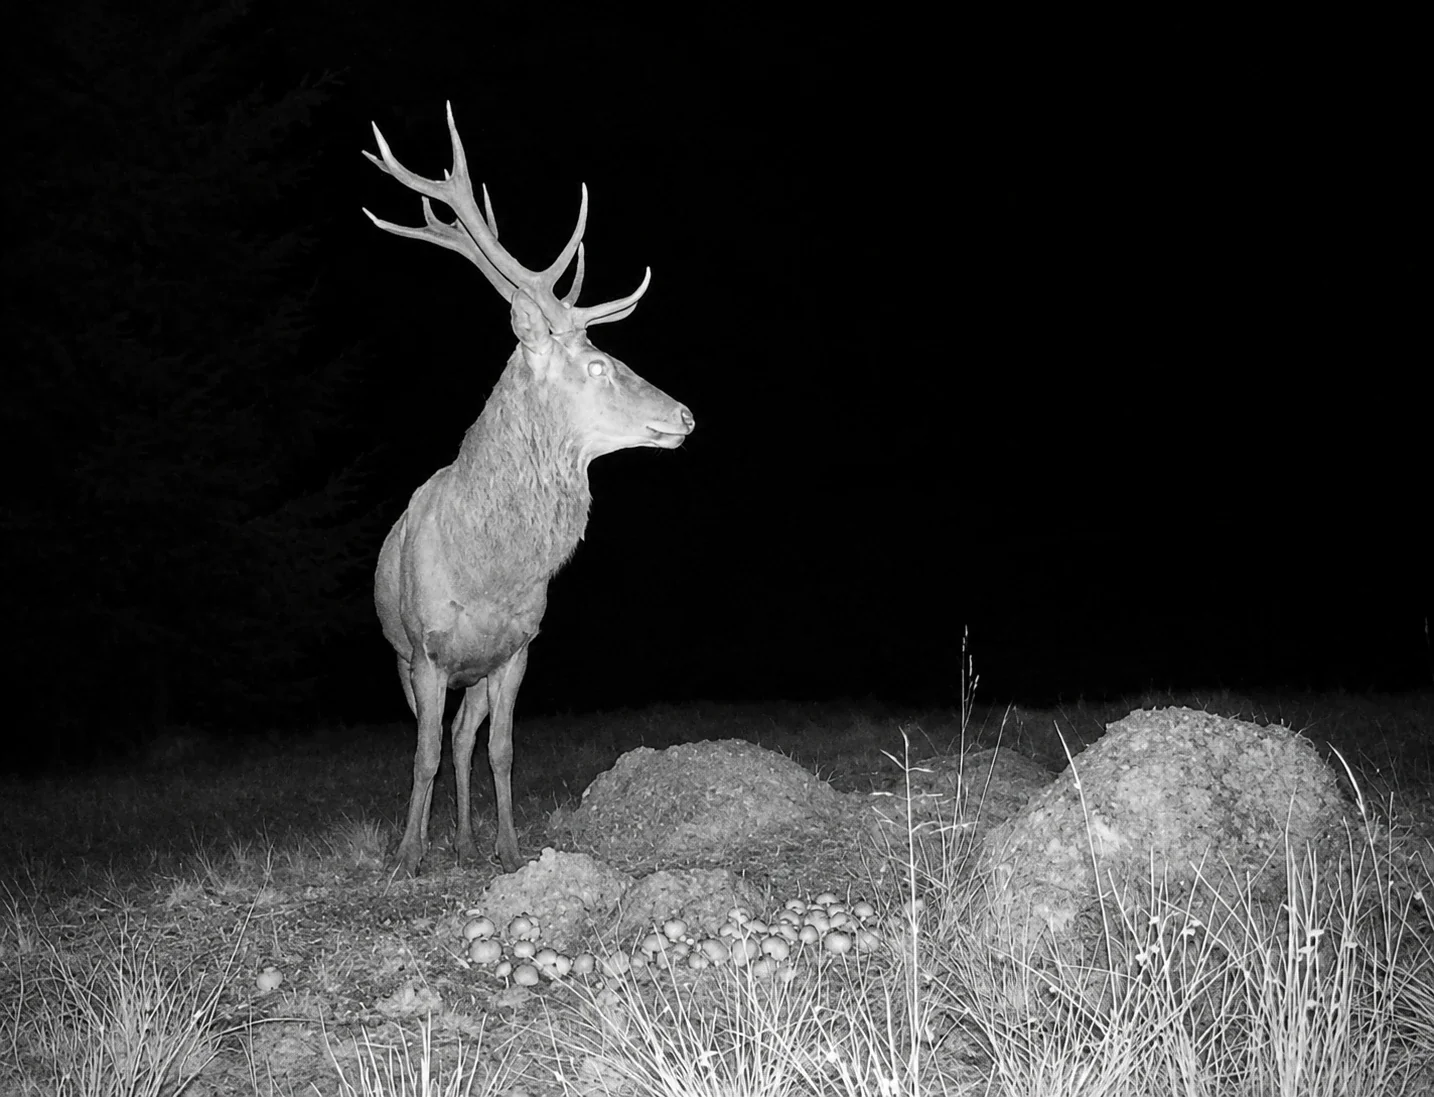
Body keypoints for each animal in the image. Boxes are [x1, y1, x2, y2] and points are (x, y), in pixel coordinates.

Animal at [363, 103, 693, 875]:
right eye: (599, 364)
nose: (686, 415)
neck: (488, 570)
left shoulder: (516, 651)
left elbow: (502, 751)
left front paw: (509, 850)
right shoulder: (426, 650)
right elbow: (420, 756)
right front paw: (407, 856)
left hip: (478, 673)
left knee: (464, 737)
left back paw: (464, 838)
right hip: (406, 660)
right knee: (438, 740)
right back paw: (436, 839)